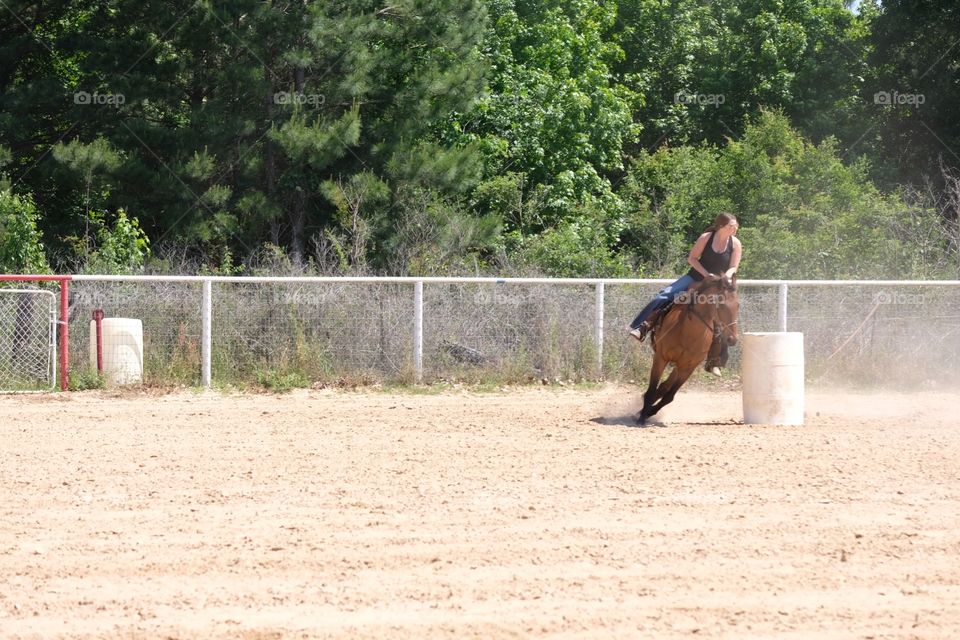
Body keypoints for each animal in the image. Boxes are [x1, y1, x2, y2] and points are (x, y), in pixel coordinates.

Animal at [637, 276, 740, 425]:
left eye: (738, 305)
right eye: (721, 305)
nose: (732, 339)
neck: (688, 332)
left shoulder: (689, 367)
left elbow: (669, 396)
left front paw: (649, 412)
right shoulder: (660, 358)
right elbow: (651, 390)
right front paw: (641, 417)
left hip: (679, 366)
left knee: (665, 387)